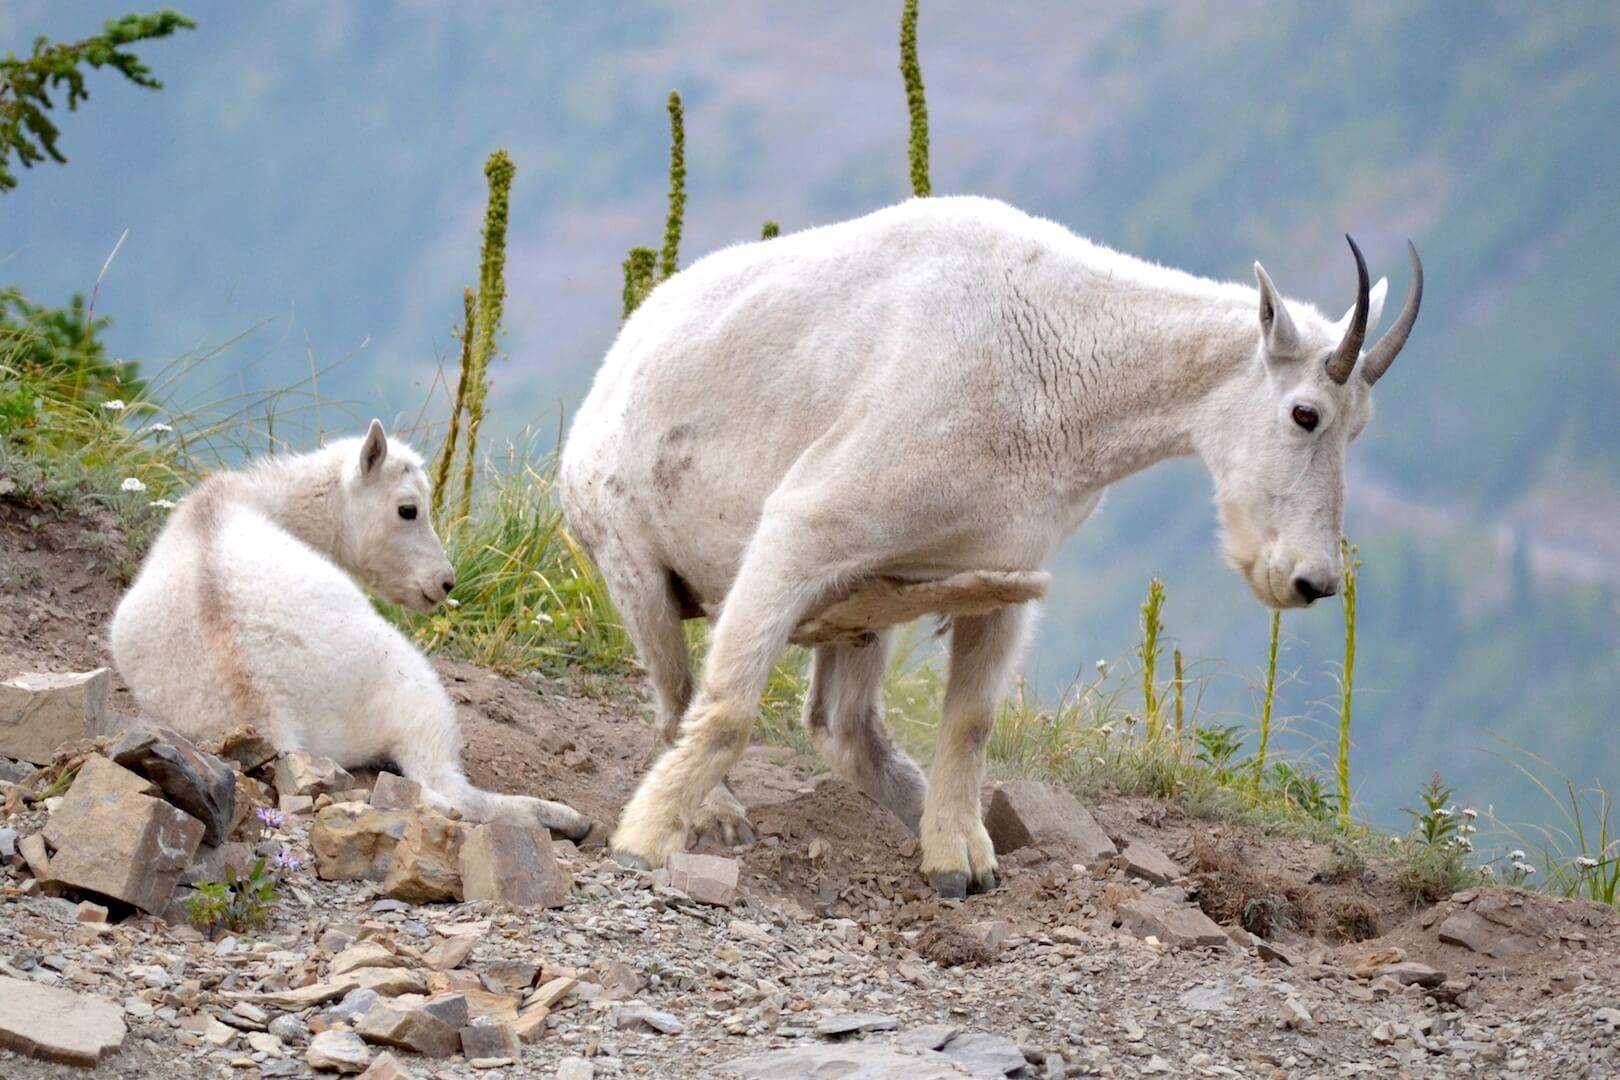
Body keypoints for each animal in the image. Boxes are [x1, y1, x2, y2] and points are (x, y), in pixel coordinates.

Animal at [115, 424, 596, 841]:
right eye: (408, 509)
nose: (444, 582)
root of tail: (269, 713)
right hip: (414, 687)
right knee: (445, 789)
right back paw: (559, 816)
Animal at [563, 194, 1425, 893]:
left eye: (1360, 427)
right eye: (1305, 414)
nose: (1312, 580)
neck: (1061, 366)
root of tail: (618, 358)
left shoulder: (1005, 575)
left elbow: (970, 724)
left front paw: (960, 859)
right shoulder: (802, 530)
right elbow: (728, 711)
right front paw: (642, 840)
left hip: (862, 615)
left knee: (842, 727)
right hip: (635, 566)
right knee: (675, 699)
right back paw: (715, 815)